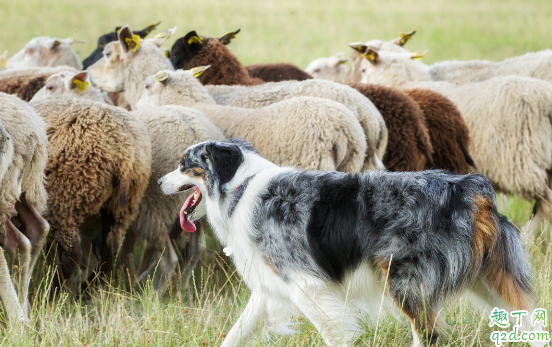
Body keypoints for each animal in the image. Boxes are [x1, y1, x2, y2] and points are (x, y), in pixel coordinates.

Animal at [29, 96, 151, 290]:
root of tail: (125, 149)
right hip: (121, 206)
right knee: (110, 251)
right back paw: (88, 289)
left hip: (66, 198)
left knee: (72, 255)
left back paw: (54, 292)